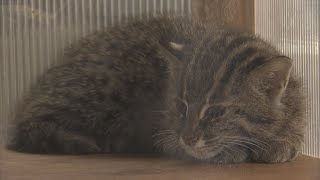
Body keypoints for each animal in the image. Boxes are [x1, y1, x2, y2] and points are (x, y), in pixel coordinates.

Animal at [6, 16, 304, 164]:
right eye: (181, 105)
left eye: (216, 112)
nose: (188, 138)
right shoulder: (166, 133)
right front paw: (232, 152)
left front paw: (282, 142)